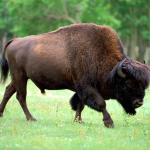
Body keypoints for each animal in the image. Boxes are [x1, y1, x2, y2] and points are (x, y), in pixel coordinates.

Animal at [0, 23, 150, 127]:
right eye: (127, 84)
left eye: (144, 85)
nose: (139, 102)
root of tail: (14, 41)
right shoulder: (87, 87)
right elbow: (101, 103)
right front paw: (109, 123)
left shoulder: (82, 89)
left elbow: (80, 104)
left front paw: (78, 121)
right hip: (20, 76)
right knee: (21, 97)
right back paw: (31, 118)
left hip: (19, 78)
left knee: (8, 91)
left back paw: (1, 114)